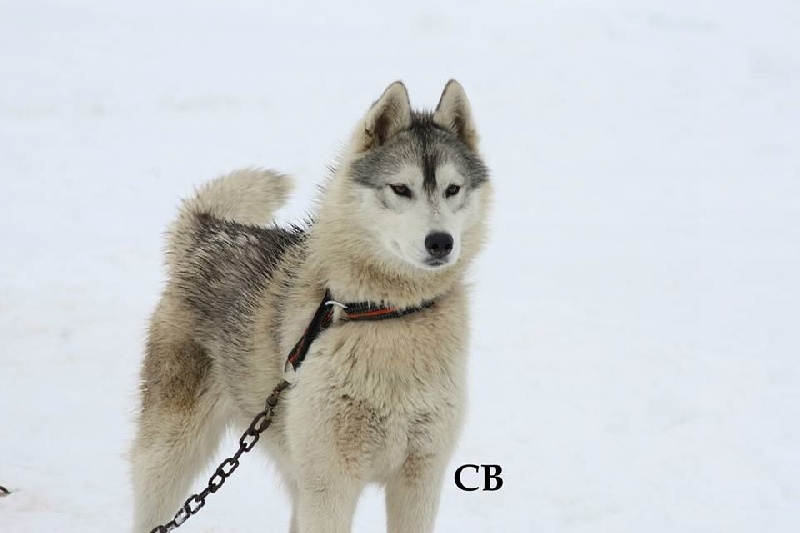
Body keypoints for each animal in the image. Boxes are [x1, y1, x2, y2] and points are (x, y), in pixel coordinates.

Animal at [131, 80, 492, 533]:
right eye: (400, 189)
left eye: (452, 189)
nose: (441, 242)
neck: (385, 313)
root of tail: (212, 229)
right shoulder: (330, 483)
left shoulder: (420, 478)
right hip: (170, 456)